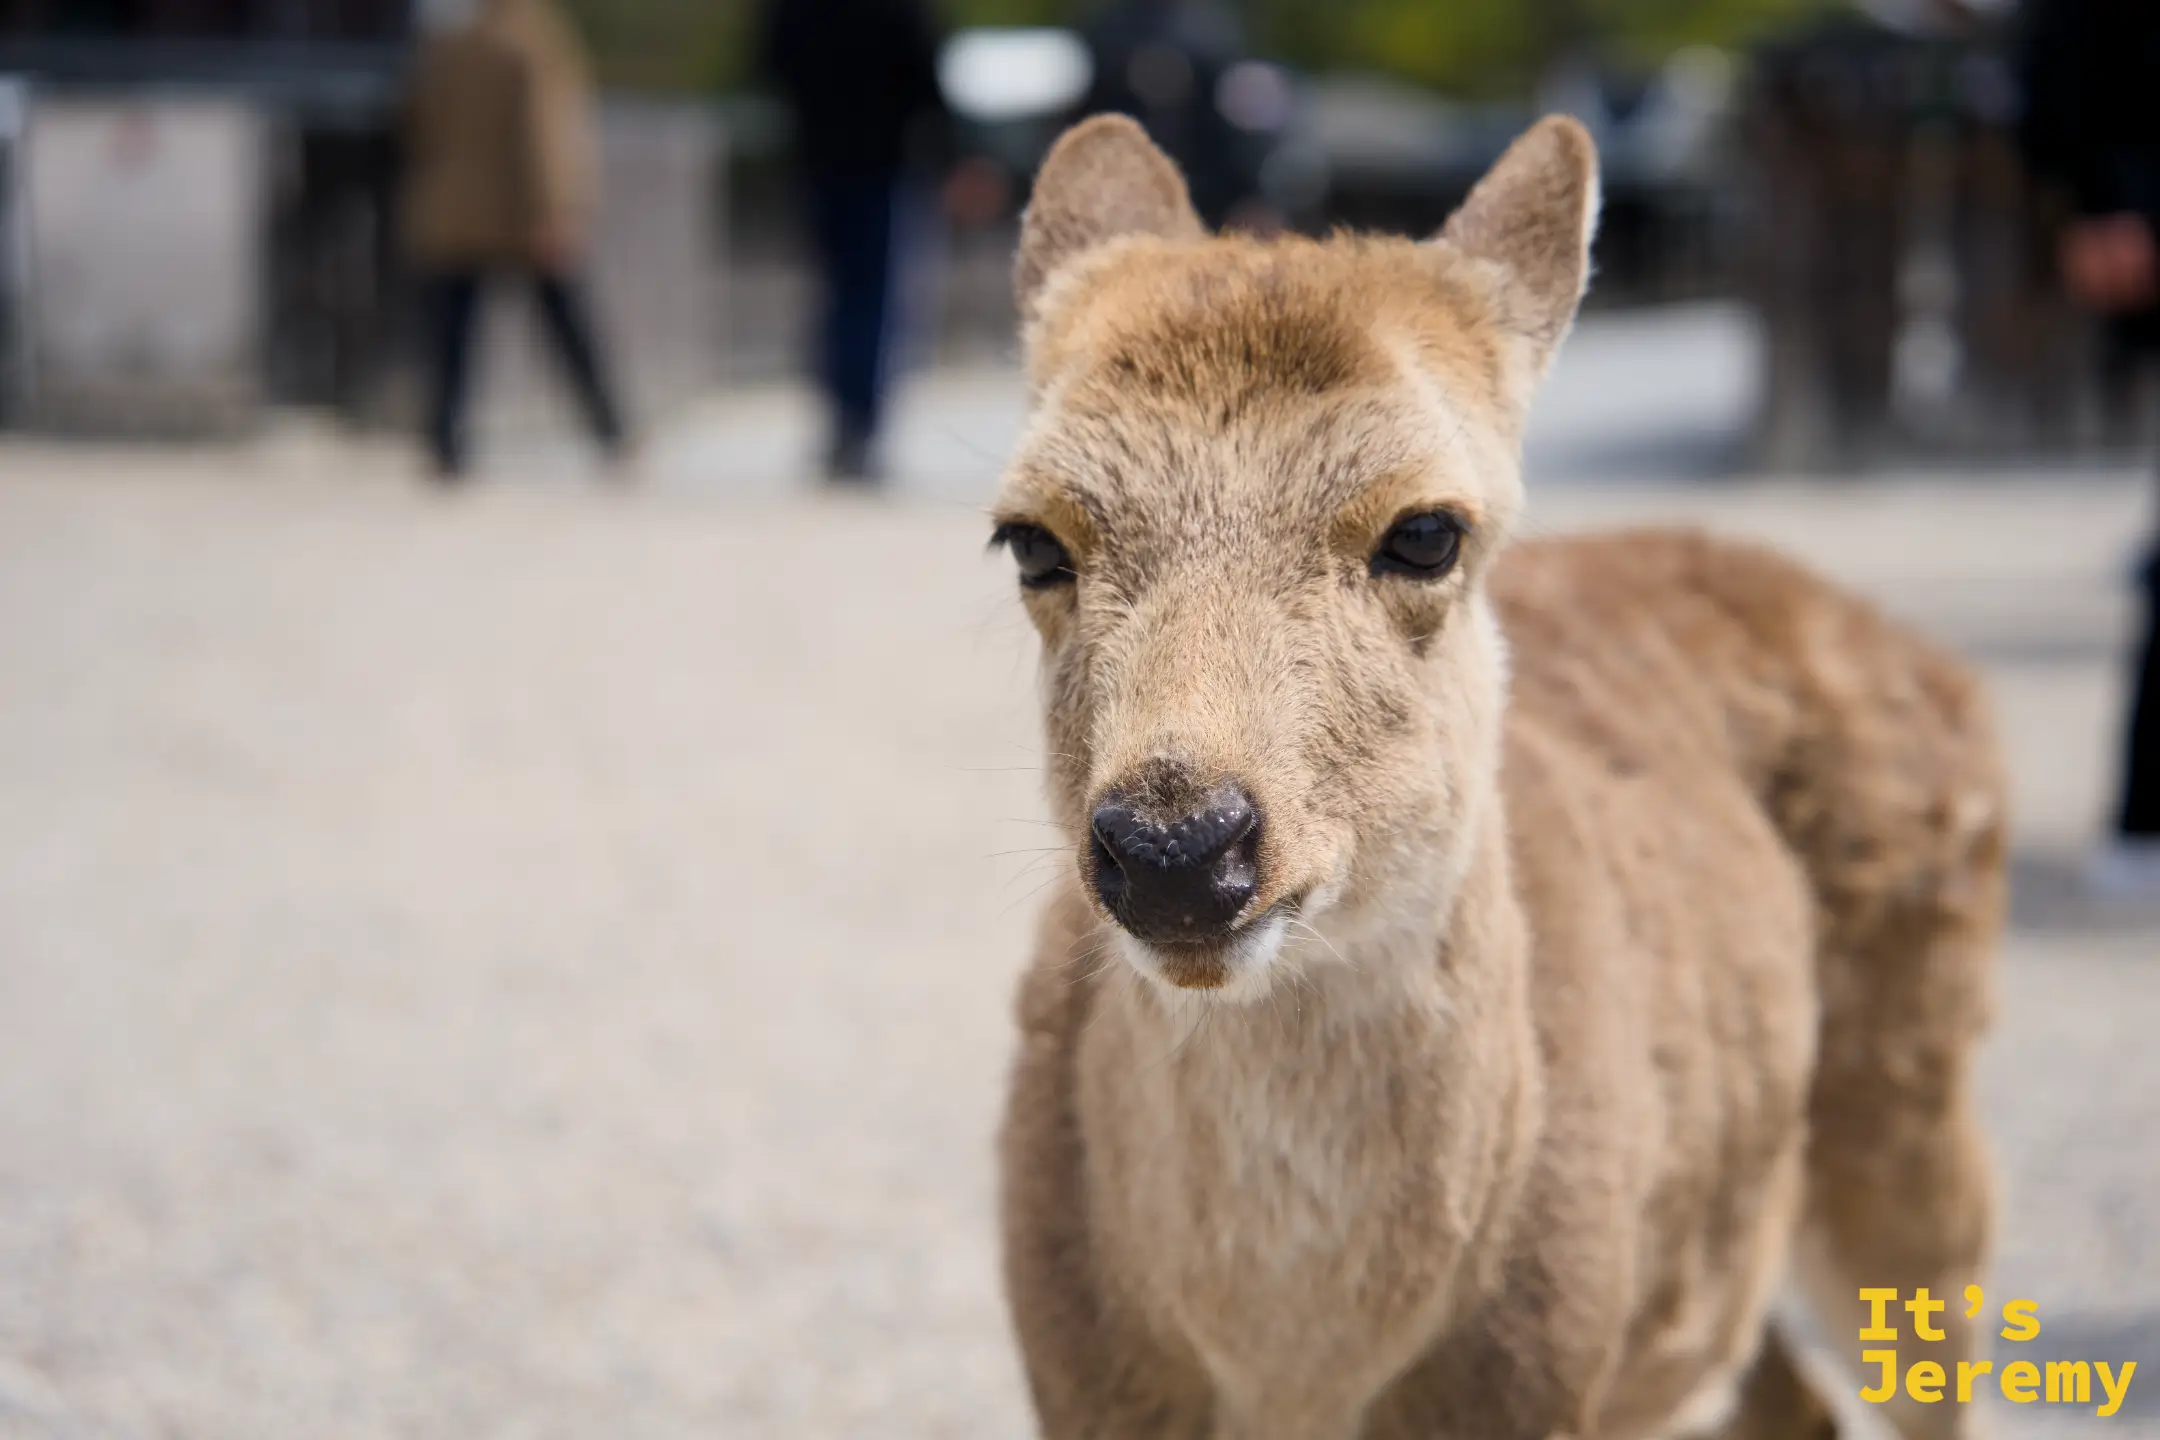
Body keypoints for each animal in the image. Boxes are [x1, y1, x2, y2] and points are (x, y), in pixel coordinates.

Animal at [988, 114, 2006, 1440]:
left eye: (1428, 531)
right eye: (1030, 540)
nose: (1176, 845)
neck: (1294, 1380)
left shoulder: (1543, 1379)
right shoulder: (1076, 1379)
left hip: (1918, 1107)